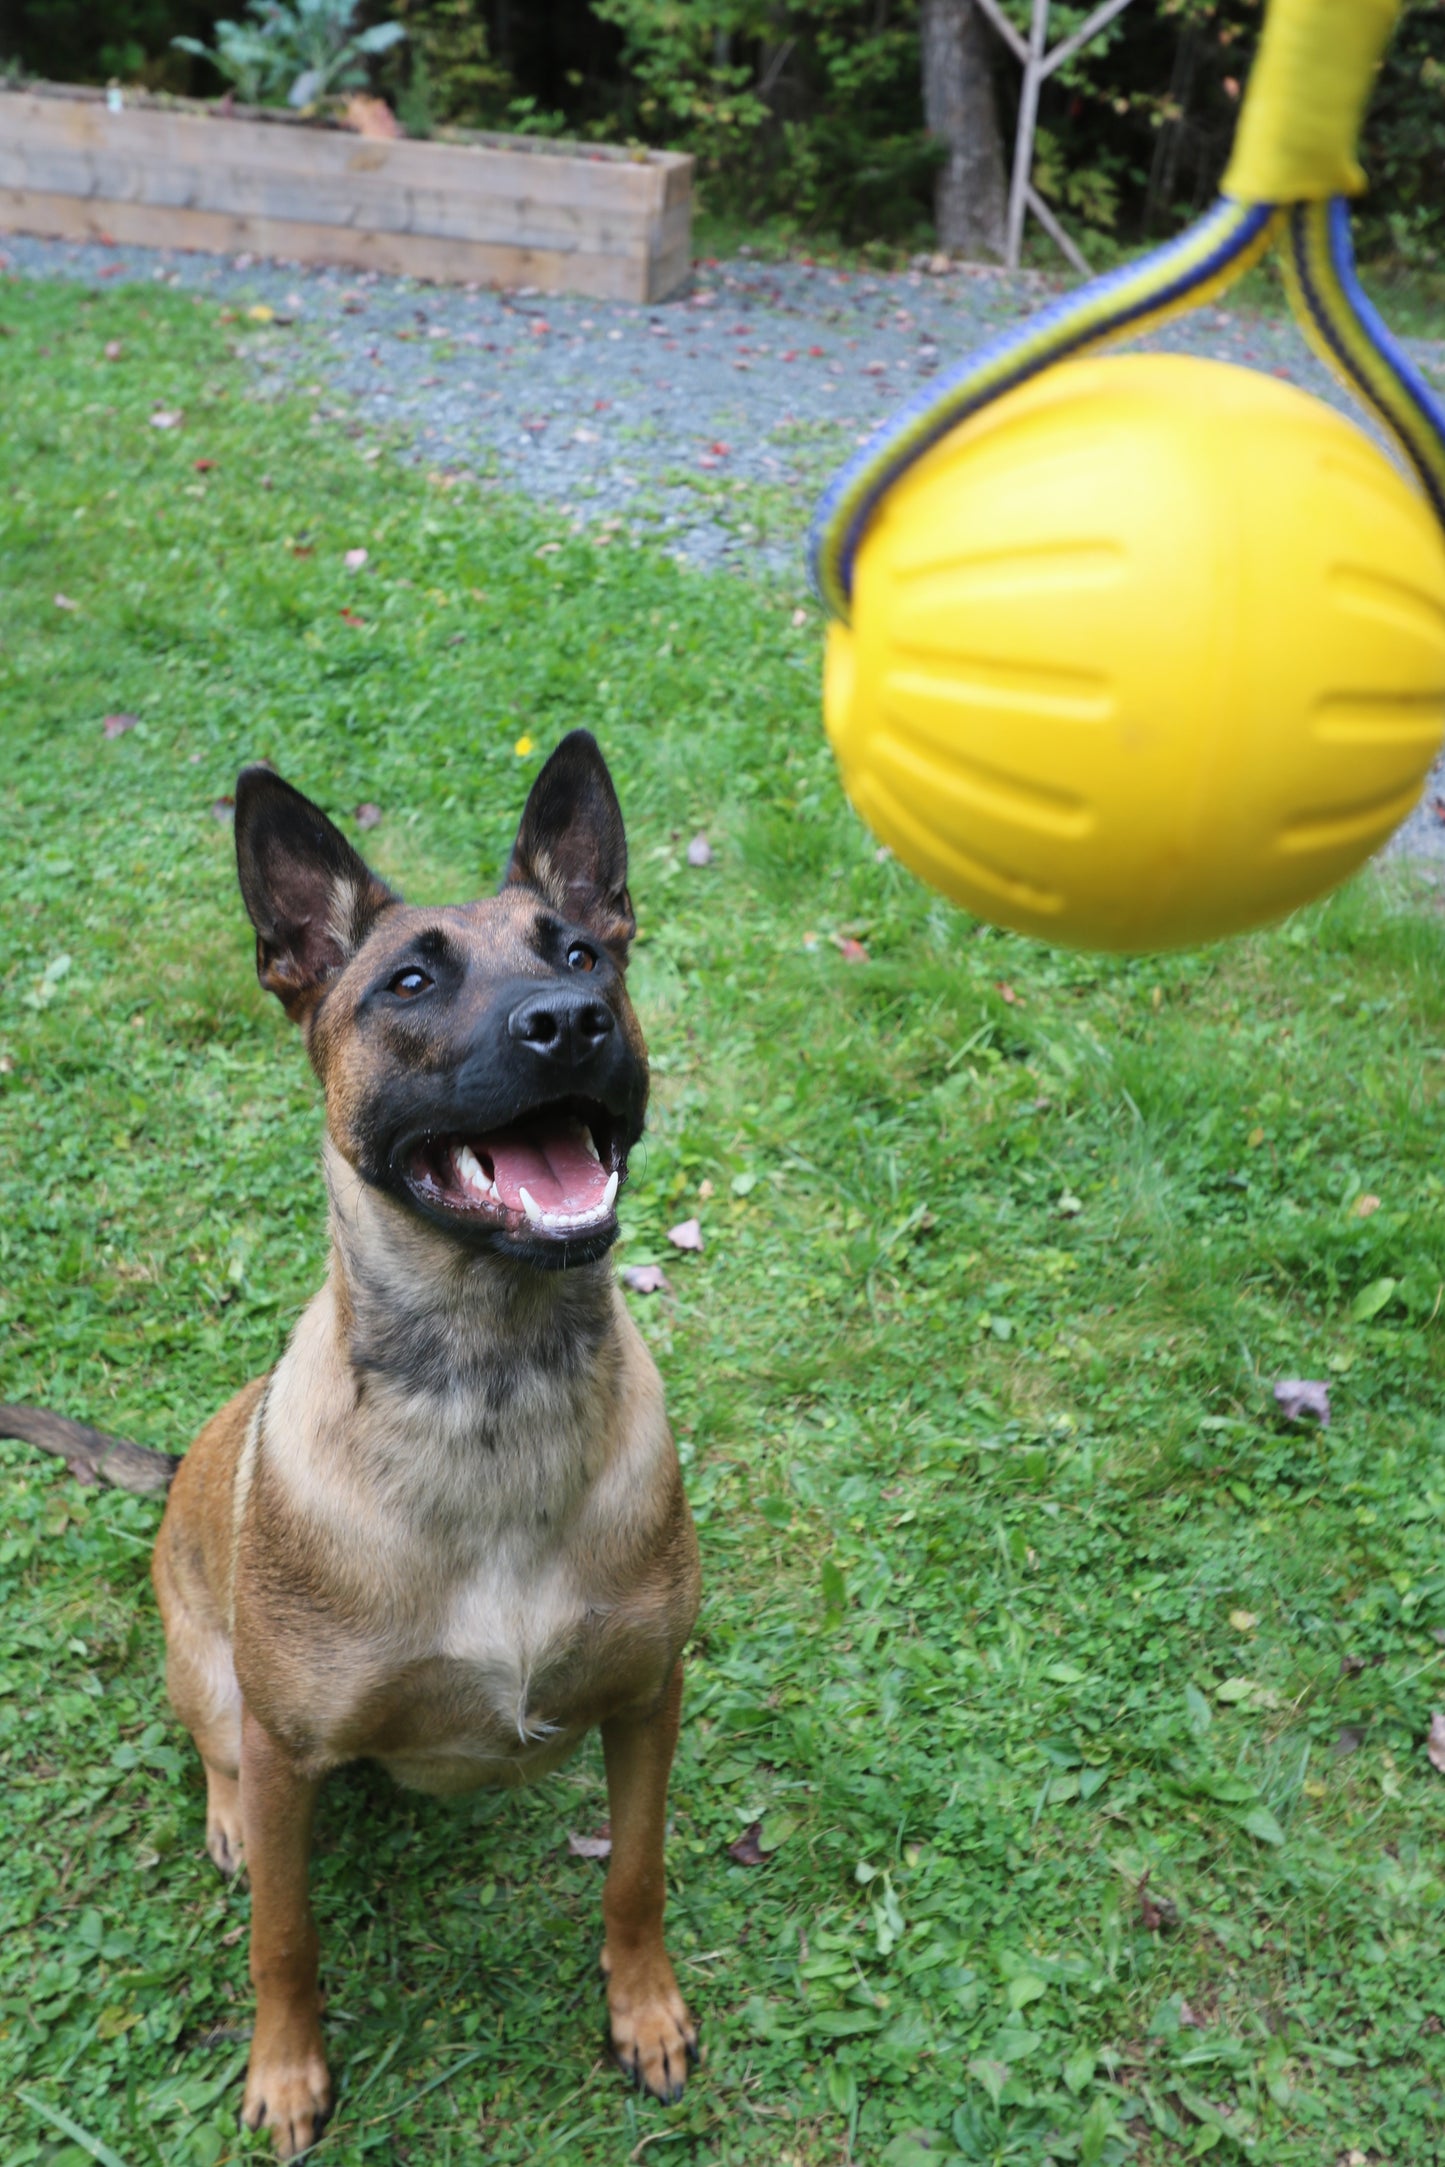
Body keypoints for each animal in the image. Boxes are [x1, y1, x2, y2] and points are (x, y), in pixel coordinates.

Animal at [1, 736, 701, 2158]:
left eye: (583, 951)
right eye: (409, 981)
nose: (567, 1022)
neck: (490, 1393)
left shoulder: (649, 1696)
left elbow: (638, 1873)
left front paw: (643, 2012)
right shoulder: (287, 1750)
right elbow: (284, 1937)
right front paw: (283, 2074)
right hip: (208, 1668)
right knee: (215, 1753)